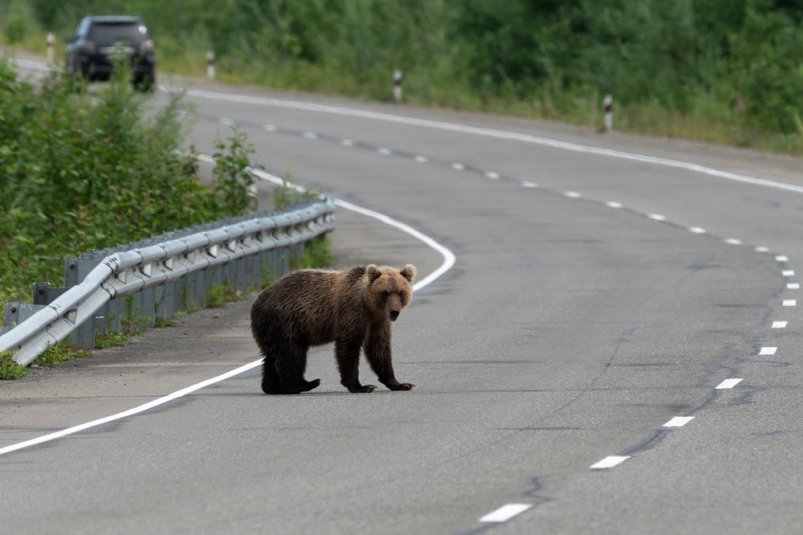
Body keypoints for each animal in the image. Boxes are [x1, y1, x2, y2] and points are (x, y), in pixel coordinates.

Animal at [250, 264, 414, 394]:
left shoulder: (378, 322)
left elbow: (379, 349)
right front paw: (361, 386)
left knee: (272, 357)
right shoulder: (352, 313)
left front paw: (401, 384)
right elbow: (349, 346)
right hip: (285, 321)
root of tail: (256, 303)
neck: (370, 306)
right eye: (385, 292)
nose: (394, 312)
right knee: (291, 353)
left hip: (271, 330)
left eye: (401, 292)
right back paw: (304, 384)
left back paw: (273, 388)